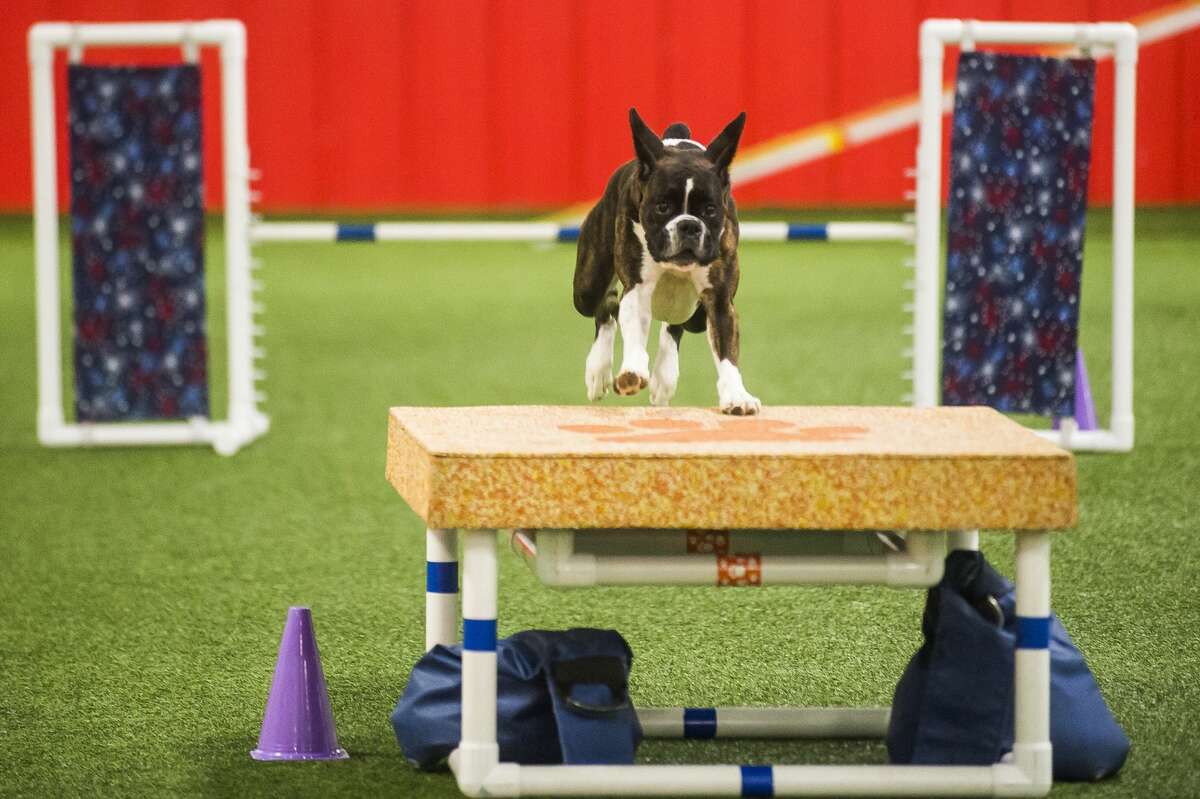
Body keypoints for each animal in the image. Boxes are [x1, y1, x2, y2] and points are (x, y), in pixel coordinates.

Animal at [573, 107, 758, 412]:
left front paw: (737, 395)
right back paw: (597, 371)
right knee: (606, 307)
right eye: (662, 207)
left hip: (695, 315)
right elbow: (634, 331)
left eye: (710, 210)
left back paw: (664, 376)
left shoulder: (719, 301)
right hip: (587, 289)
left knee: (674, 325)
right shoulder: (637, 289)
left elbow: (727, 353)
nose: (689, 225)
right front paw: (632, 372)